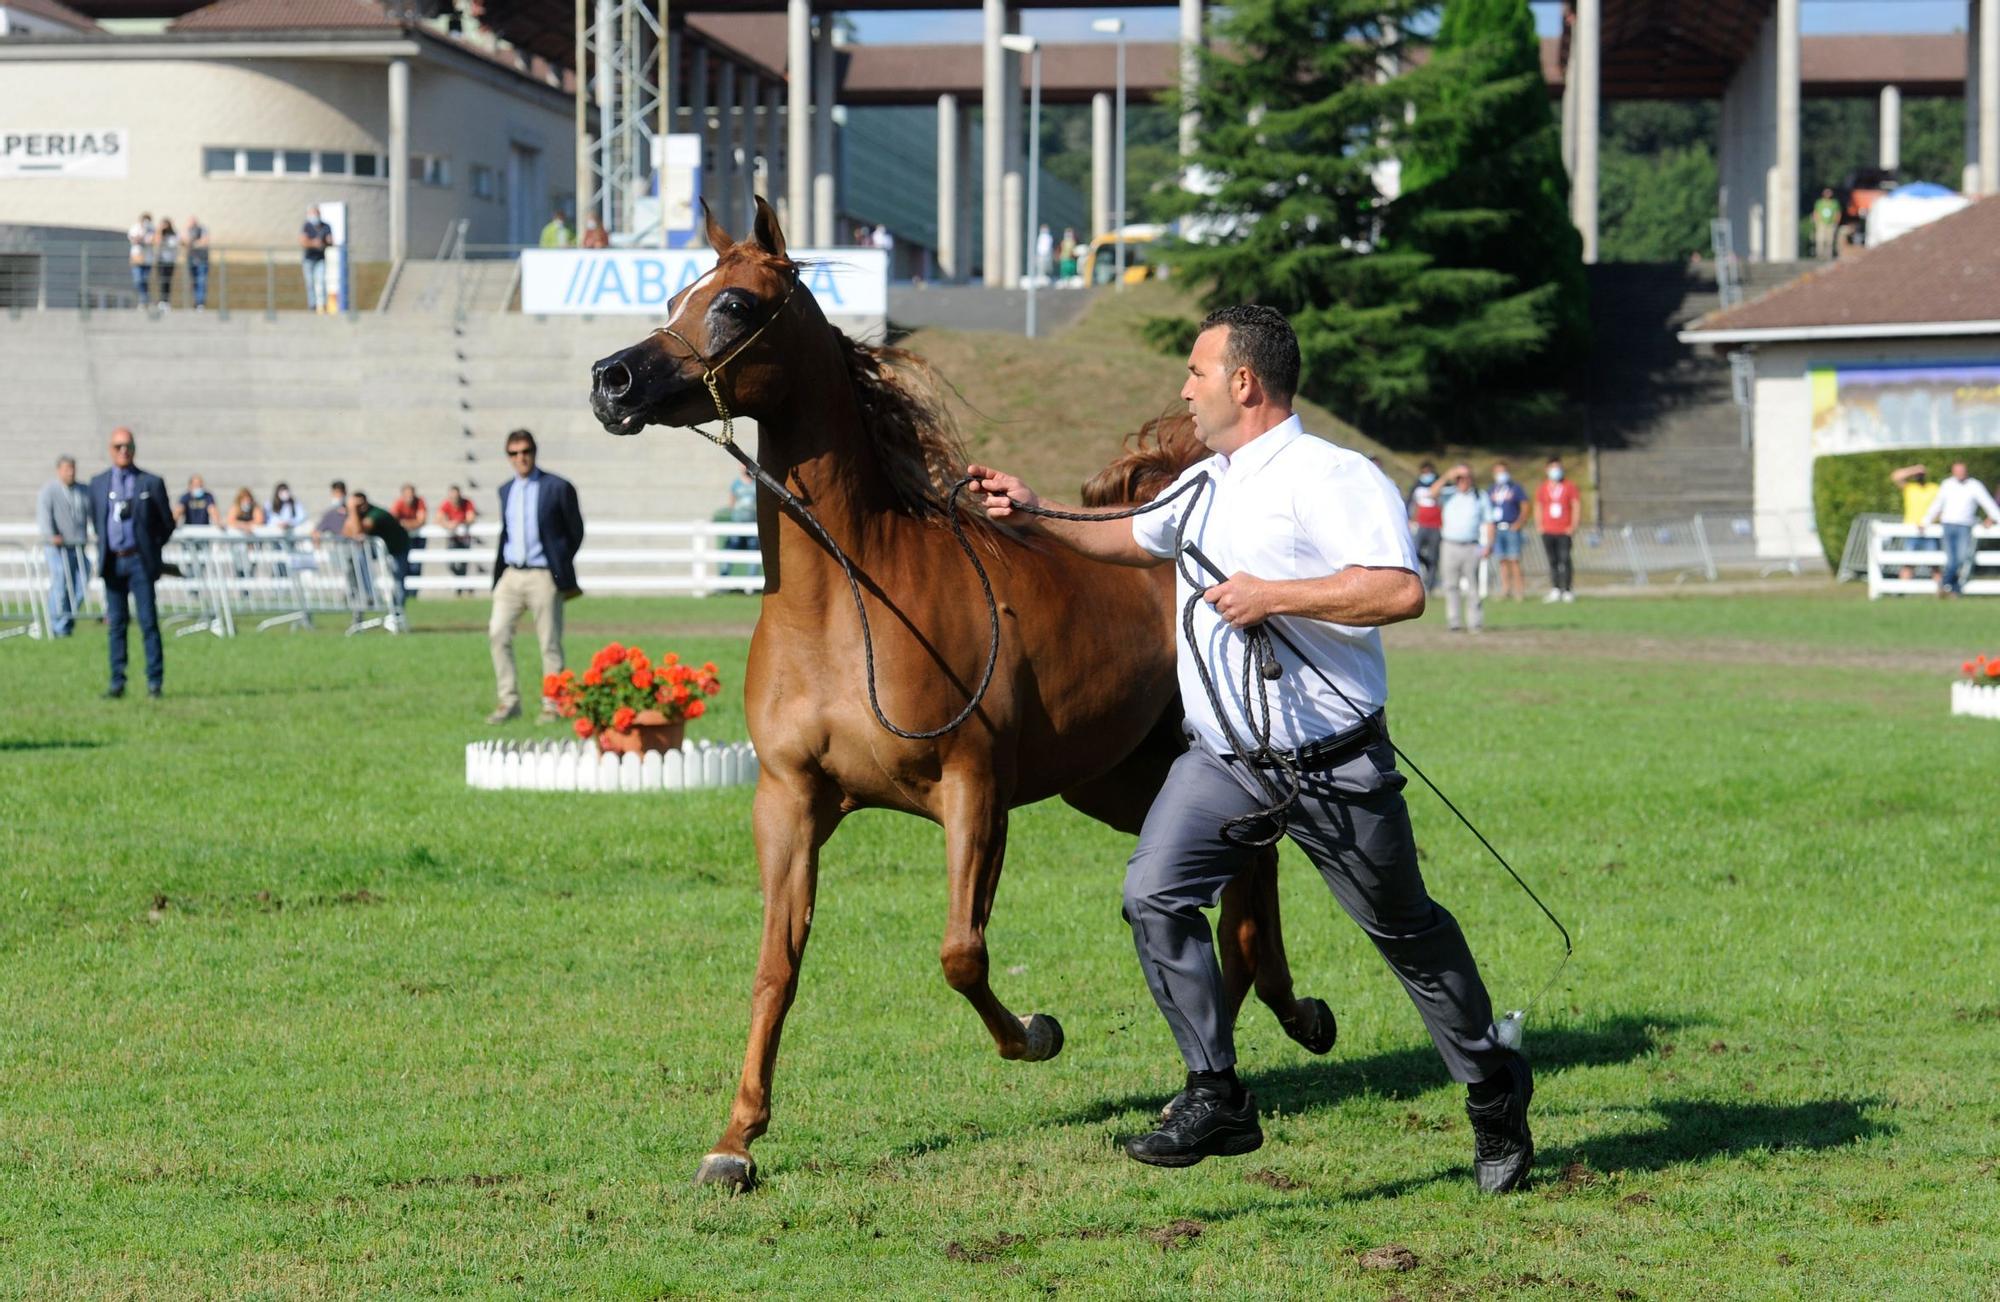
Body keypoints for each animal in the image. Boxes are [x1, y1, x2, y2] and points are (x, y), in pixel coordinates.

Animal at [584, 196, 1328, 1192]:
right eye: (673, 296)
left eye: (735, 305)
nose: (612, 380)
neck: (853, 603)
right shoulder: (790, 801)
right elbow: (777, 965)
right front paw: (735, 1142)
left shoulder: (975, 791)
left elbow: (960, 955)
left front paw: (1040, 1034)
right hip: (1114, 782)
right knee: (1238, 874)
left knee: (1258, 864)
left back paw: (1289, 1014)